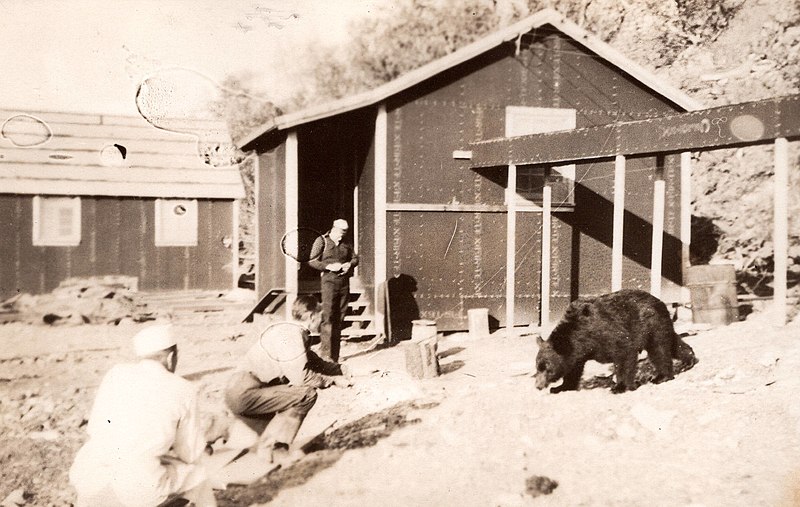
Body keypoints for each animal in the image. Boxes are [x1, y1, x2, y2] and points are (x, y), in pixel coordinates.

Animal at [536, 290, 696, 392]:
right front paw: (560, 387)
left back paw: (661, 377)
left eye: (547, 368)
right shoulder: (577, 353)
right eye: (538, 367)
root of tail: (661, 302)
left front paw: (620, 387)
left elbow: (625, 353)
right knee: (673, 344)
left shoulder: (608, 334)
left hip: (653, 327)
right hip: (661, 326)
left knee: (659, 351)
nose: (537, 386)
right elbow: (573, 369)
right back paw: (689, 359)